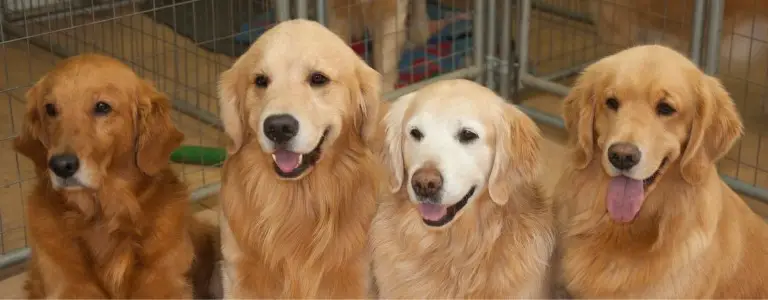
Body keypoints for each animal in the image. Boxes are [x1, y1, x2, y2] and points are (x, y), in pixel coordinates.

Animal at [216, 19, 384, 298]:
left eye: (318, 79)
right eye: (260, 80)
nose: (278, 127)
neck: (298, 201)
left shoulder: (356, 276)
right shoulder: (240, 273)